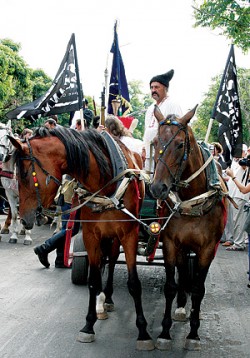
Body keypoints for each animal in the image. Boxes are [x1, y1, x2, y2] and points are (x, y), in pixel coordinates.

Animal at [9, 127, 154, 352]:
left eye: (24, 174)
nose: (24, 219)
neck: (105, 182)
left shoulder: (129, 234)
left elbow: (134, 283)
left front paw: (143, 331)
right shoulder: (91, 235)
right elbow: (93, 281)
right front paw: (89, 325)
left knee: (113, 260)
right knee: (107, 261)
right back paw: (104, 300)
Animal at [150, 105, 229, 352]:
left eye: (179, 145)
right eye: (154, 142)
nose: (157, 188)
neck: (193, 200)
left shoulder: (207, 249)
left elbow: (198, 289)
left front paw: (194, 333)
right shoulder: (170, 244)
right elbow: (170, 285)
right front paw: (165, 332)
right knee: (183, 273)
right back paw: (181, 306)